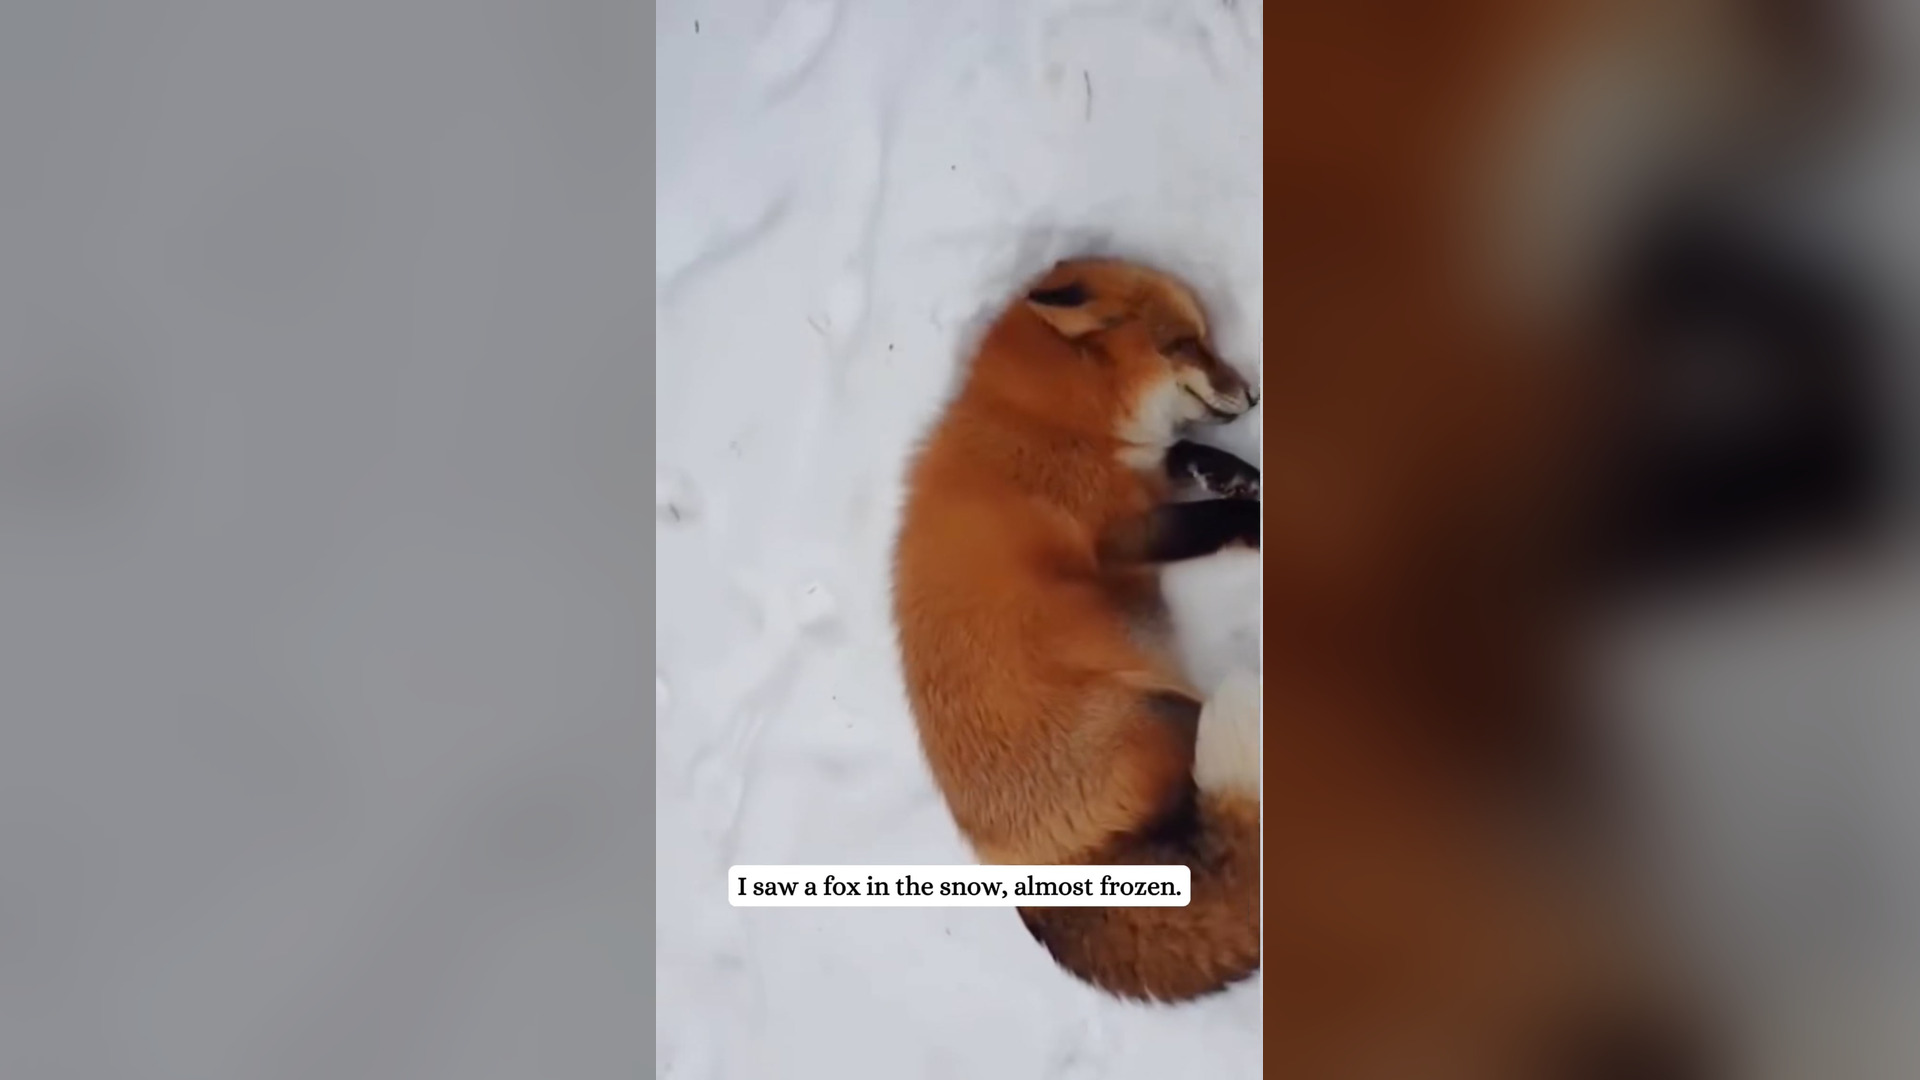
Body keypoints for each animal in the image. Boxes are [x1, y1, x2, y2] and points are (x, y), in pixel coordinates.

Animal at [891, 257, 1263, 1002]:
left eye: (1206, 338)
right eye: (1186, 344)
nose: (1253, 396)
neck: (1044, 420)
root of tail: (1027, 874)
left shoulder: (1139, 481)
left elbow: (1181, 451)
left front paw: (1230, 470)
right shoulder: (1117, 535)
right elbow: (1210, 518)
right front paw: (1261, 514)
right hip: (1163, 709)